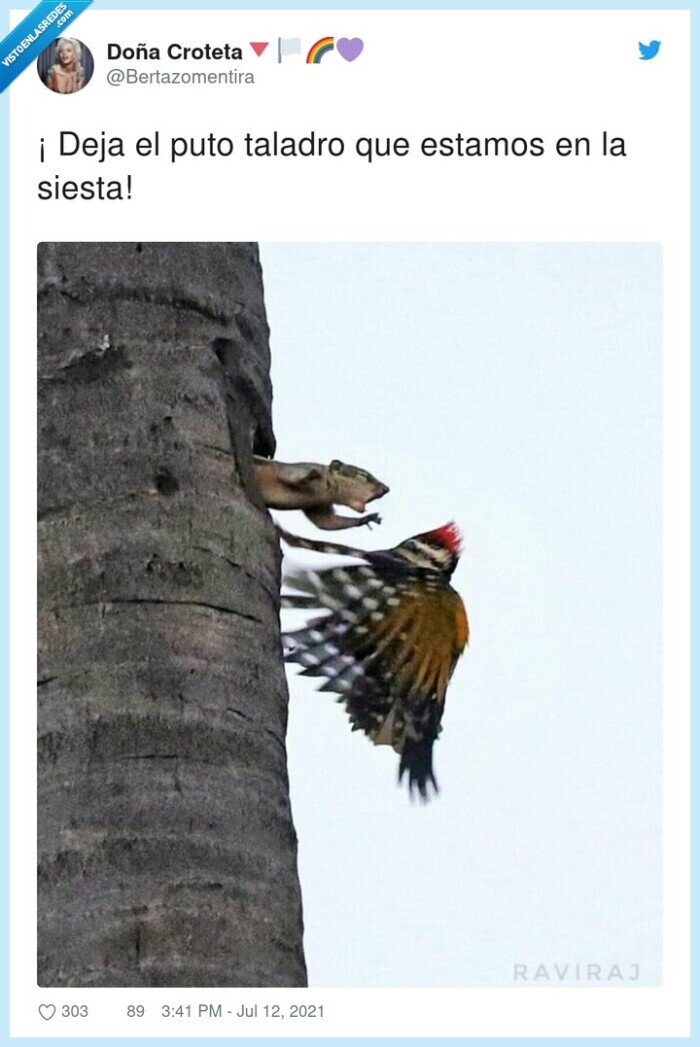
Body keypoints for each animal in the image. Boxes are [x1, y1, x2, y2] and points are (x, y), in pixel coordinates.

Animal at [252, 456, 389, 531]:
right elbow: (293, 476)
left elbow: (327, 522)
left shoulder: (318, 505)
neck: (324, 491)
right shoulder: (299, 469)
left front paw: (367, 519)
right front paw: (310, 476)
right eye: (363, 475)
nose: (386, 489)